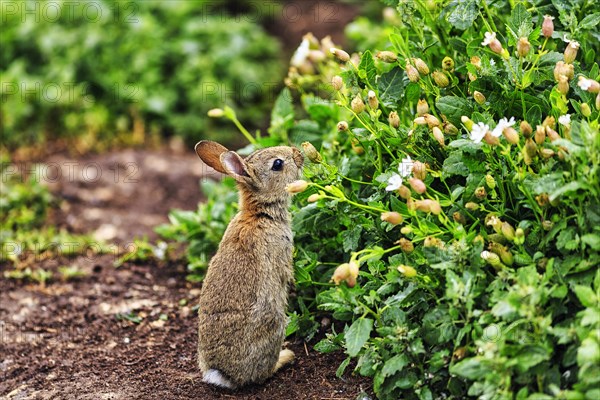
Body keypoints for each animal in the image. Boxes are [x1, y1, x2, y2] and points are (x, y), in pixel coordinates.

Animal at [193, 140, 302, 388]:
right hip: (276, 324)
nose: (298, 153)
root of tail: (223, 374)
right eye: (278, 164)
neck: (260, 213)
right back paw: (285, 357)